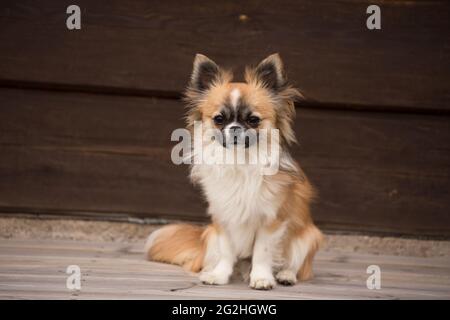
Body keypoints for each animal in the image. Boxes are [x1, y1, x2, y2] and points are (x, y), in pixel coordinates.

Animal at [146, 53, 326, 290]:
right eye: (219, 119)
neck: (239, 161)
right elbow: (226, 252)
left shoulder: (270, 222)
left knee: (297, 265)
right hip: (210, 235)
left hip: (308, 237)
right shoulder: (223, 219)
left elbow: (262, 253)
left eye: (253, 120)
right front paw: (219, 275)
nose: (234, 129)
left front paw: (261, 278)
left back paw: (285, 275)